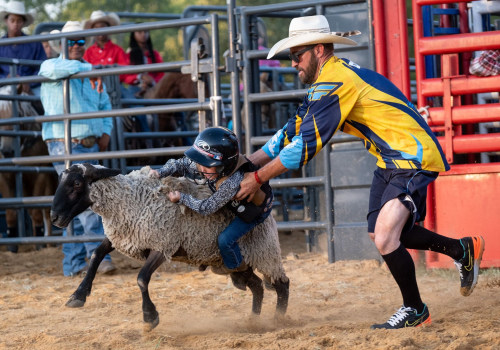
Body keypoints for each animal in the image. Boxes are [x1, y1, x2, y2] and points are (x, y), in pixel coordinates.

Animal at [50, 163, 290, 330]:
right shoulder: (125, 237)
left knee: (281, 284)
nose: (54, 217)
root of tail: (270, 217)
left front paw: (150, 317)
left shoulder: (162, 244)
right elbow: (96, 256)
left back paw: (278, 320)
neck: (127, 199)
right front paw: (77, 296)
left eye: (77, 184)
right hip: (236, 264)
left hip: (264, 253)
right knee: (258, 286)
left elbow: (141, 278)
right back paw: (254, 321)